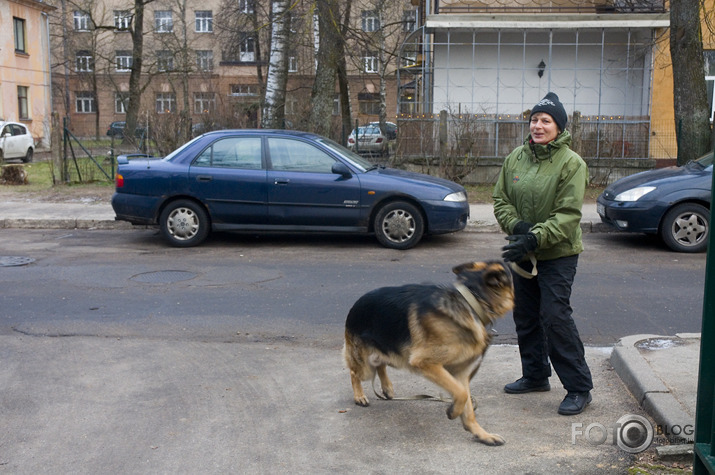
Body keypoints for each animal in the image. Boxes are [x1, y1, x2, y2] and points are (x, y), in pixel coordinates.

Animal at [344, 260, 512, 446]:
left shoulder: (461, 374)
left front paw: (481, 434)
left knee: (381, 364)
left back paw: (387, 388)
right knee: (354, 373)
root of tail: (357, 303)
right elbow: (461, 393)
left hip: (389, 353)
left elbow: (467, 404)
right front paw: (453, 411)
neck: (471, 300)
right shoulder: (426, 363)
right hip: (365, 365)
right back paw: (359, 396)